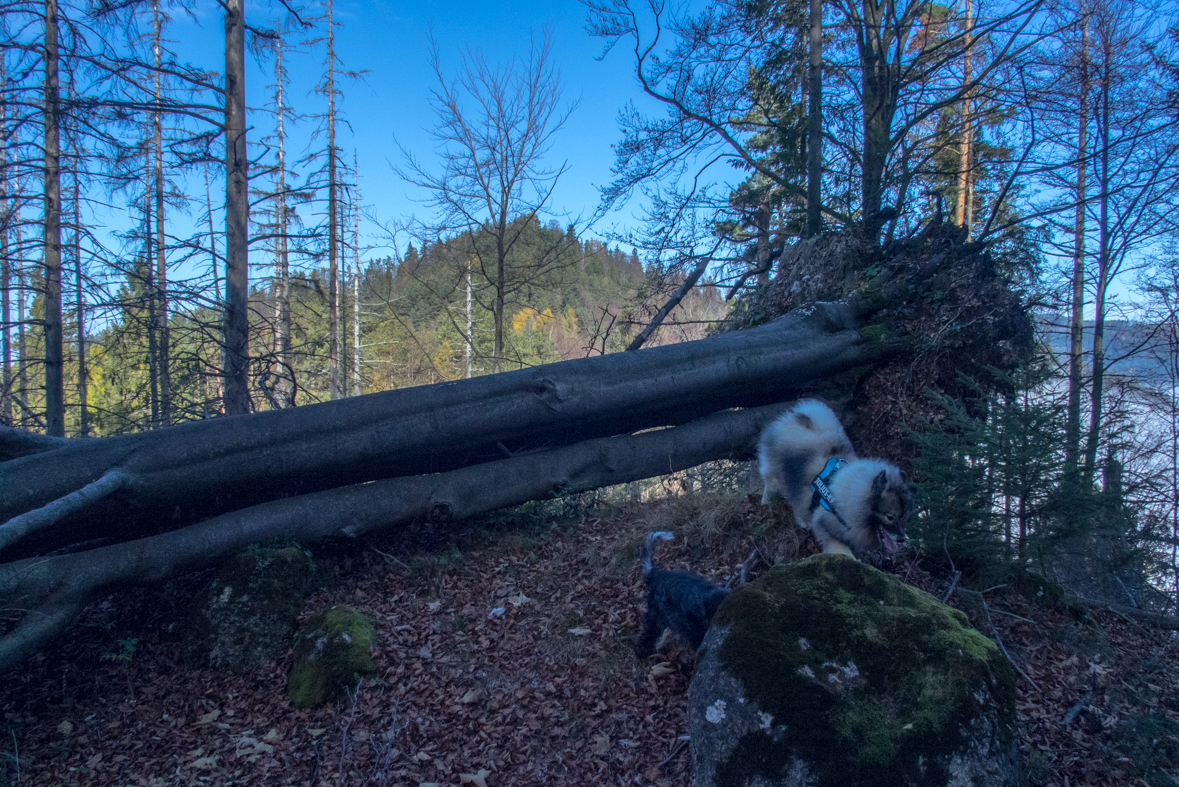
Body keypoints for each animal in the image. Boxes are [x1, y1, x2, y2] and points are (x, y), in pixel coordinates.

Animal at [759, 400, 914, 558]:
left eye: (904, 517)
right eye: (890, 517)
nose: (902, 539)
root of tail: (805, 418)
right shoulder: (825, 524)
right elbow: (841, 549)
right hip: (776, 470)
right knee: (771, 484)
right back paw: (767, 503)